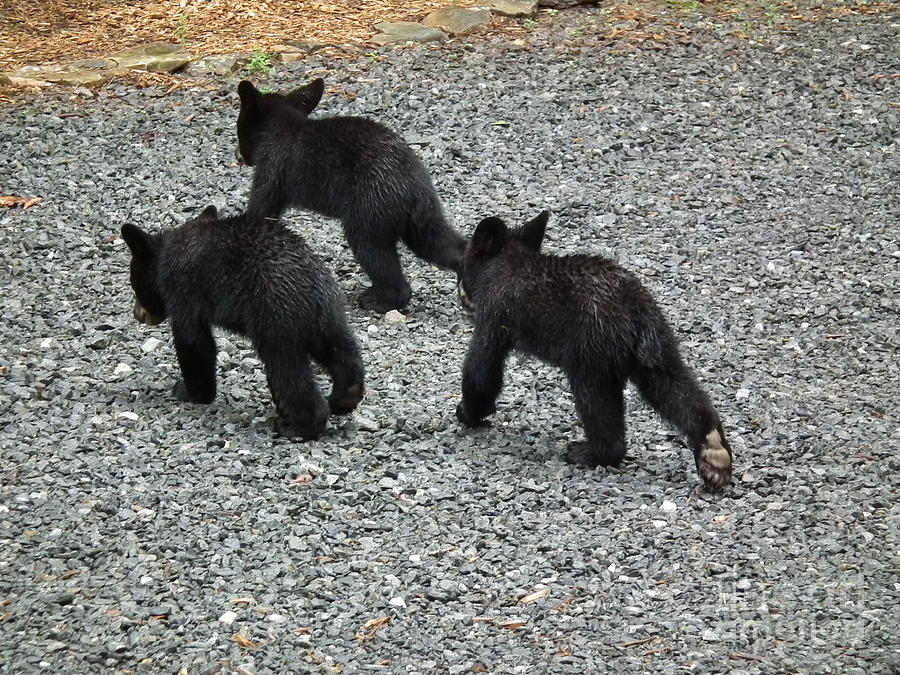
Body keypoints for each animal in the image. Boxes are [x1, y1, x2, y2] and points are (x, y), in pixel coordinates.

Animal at [121, 205, 365, 440]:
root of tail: (313, 285)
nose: (137, 314)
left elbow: (194, 341)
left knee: (287, 368)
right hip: (327, 316)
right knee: (341, 350)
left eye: (134, 283)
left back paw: (297, 426)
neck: (165, 255)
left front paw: (190, 391)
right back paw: (346, 395)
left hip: (275, 313)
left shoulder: (183, 289)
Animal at [235, 78, 466, 314]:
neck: (282, 127)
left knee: (371, 248)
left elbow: (261, 208)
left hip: (372, 204)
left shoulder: (272, 169)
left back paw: (378, 300)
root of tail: (413, 185)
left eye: (238, 128)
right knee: (442, 243)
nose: (239, 155)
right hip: (423, 216)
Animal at [454, 211, 733, 491]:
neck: (506, 266)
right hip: (656, 346)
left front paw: (468, 412)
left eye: (463, 266)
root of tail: (635, 308)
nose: (461, 293)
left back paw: (589, 452)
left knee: (597, 401)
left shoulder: (494, 314)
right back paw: (713, 452)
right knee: (672, 385)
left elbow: (482, 367)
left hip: (592, 349)